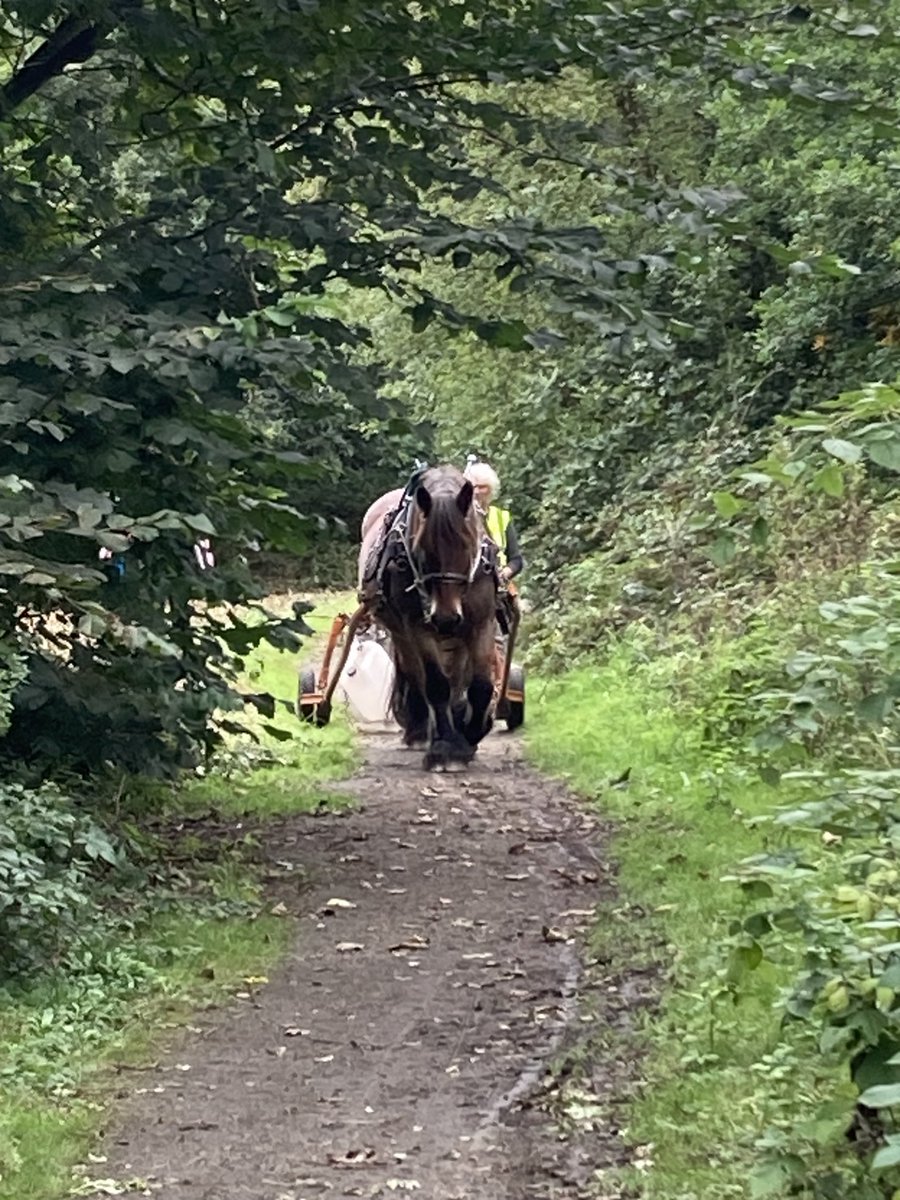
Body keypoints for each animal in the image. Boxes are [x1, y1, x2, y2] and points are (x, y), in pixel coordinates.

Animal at [360, 463, 501, 772]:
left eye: (467, 545)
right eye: (423, 551)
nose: (446, 618)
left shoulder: (481, 622)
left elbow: (481, 686)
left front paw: (470, 734)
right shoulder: (417, 626)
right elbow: (436, 685)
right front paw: (445, 748)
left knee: (458, 679)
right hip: (401, 631)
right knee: (417, 675)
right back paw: (422, 730)